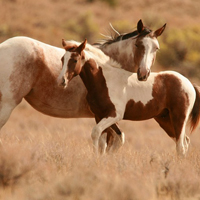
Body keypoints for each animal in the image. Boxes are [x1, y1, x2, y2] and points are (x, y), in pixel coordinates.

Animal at [58, 38, 200, 155]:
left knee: (181, 146)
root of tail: (189, 83)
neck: (105, 80)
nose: (61, 81)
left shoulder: (115, 115)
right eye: (62, 59)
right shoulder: (100, 116)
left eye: (75, 60)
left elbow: (96, 133)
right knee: (184, 141)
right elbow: (105, 141)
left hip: (178, 118)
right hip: (165, 120)